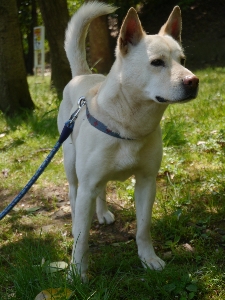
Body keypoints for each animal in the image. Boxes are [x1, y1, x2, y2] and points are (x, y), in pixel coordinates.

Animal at [57, 1, 199, 280]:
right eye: (157, 62)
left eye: (183, 60)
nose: (194, 81)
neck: (127, 125)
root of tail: (82, 74)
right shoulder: (87, 186)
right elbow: (82, 239)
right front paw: (78, 273)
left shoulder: (146, 182)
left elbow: (143, 228)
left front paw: (148, 259)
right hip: (72, 166)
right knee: (74, 195)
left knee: (101, 191)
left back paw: (101, 213)